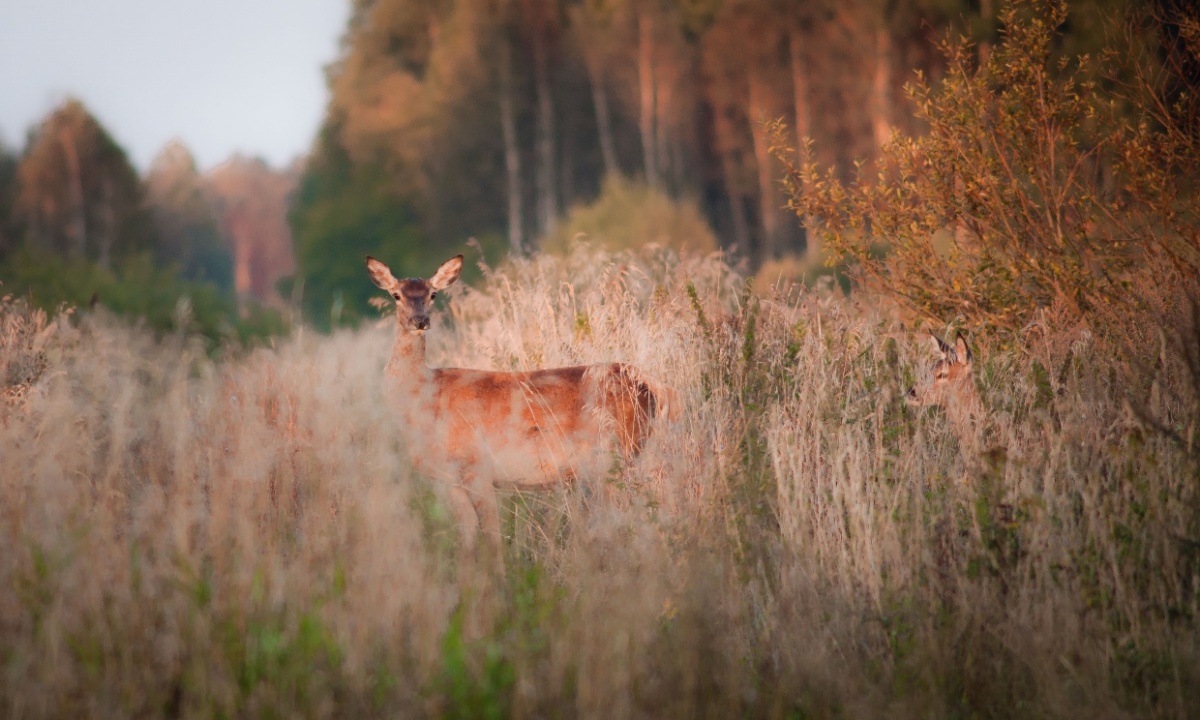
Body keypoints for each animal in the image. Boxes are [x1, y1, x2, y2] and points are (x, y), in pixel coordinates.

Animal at [367, 254, 679, 574]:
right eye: (396, 294)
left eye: (432, 294)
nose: (420, 321)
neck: (424, 397)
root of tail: (654, 386)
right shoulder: (452, 480)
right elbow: (467, 537)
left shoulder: (478, 469)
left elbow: (492, 537)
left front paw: (499, 581)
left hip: (615, 454)